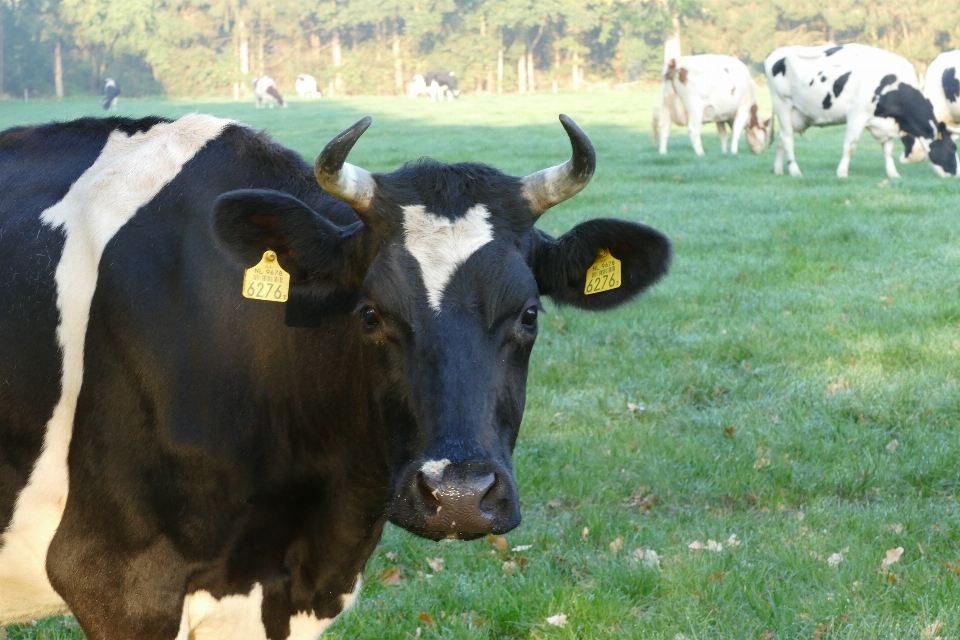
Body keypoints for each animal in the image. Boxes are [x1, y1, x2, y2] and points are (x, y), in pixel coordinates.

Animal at [764, 43, 960, 178]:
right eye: (952, 148)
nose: (956, 174)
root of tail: (775, 53)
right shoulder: (856, 114)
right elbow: (850, 145)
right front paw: (842, 173)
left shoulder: (886, 122)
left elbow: (888, 149)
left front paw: (893, 174)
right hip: (782, 103)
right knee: (788, 139)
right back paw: (795, 171)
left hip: (797, 114)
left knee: (782, 138)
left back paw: (778, 169)